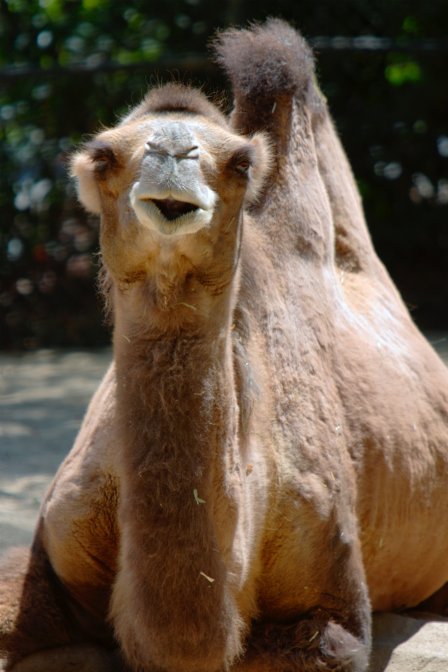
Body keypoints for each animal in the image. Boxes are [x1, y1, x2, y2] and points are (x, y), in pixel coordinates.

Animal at [1, 18, 448, 672]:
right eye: (105, 156)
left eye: (239, 162)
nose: (173, 152)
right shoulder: (55, 539)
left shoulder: (335, 588)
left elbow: (325, 644)